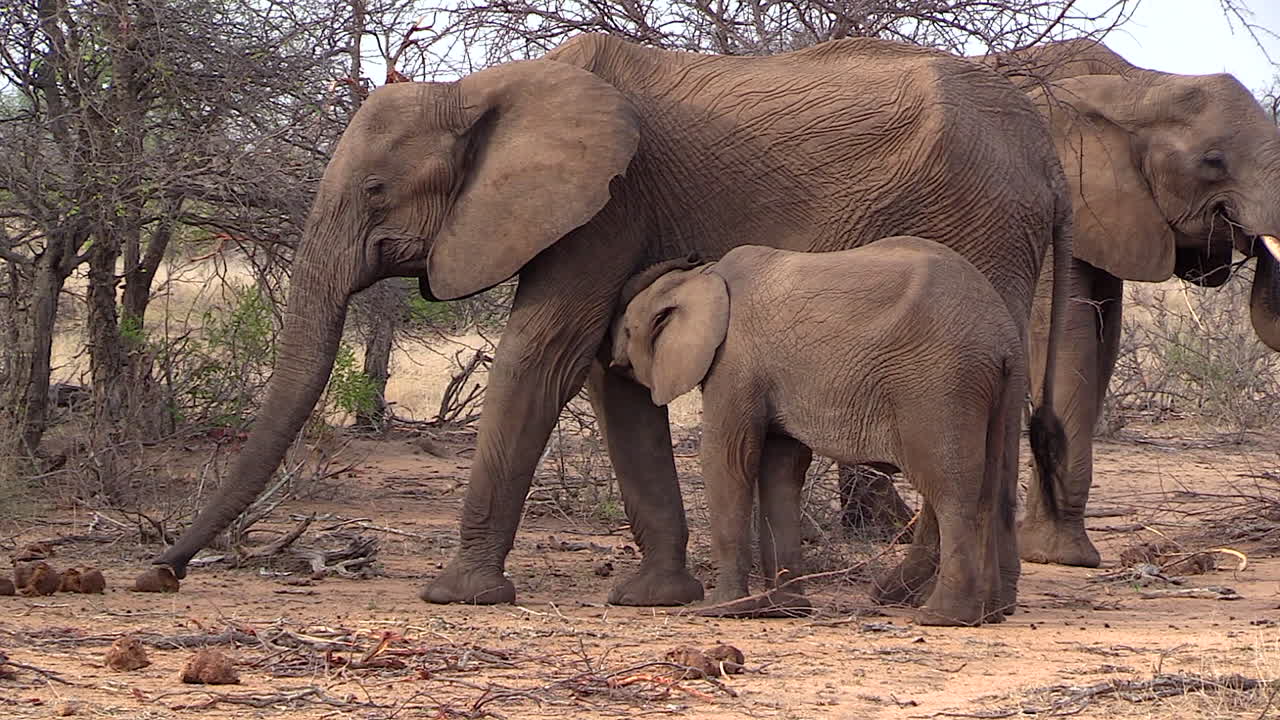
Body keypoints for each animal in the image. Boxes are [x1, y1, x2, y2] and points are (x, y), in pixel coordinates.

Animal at [610, 238, 1061, 626]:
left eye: (630, 331)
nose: (615, 361)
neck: (704, 275)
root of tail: (1000, 334)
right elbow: (782, 469)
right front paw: (780, 609)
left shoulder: (734, 362)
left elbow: (729, 459)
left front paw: (721, 609)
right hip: (1001, 387)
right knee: (992, 487)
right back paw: (990, 613)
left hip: (941, 384)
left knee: (948, 488)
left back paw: (943, 617)